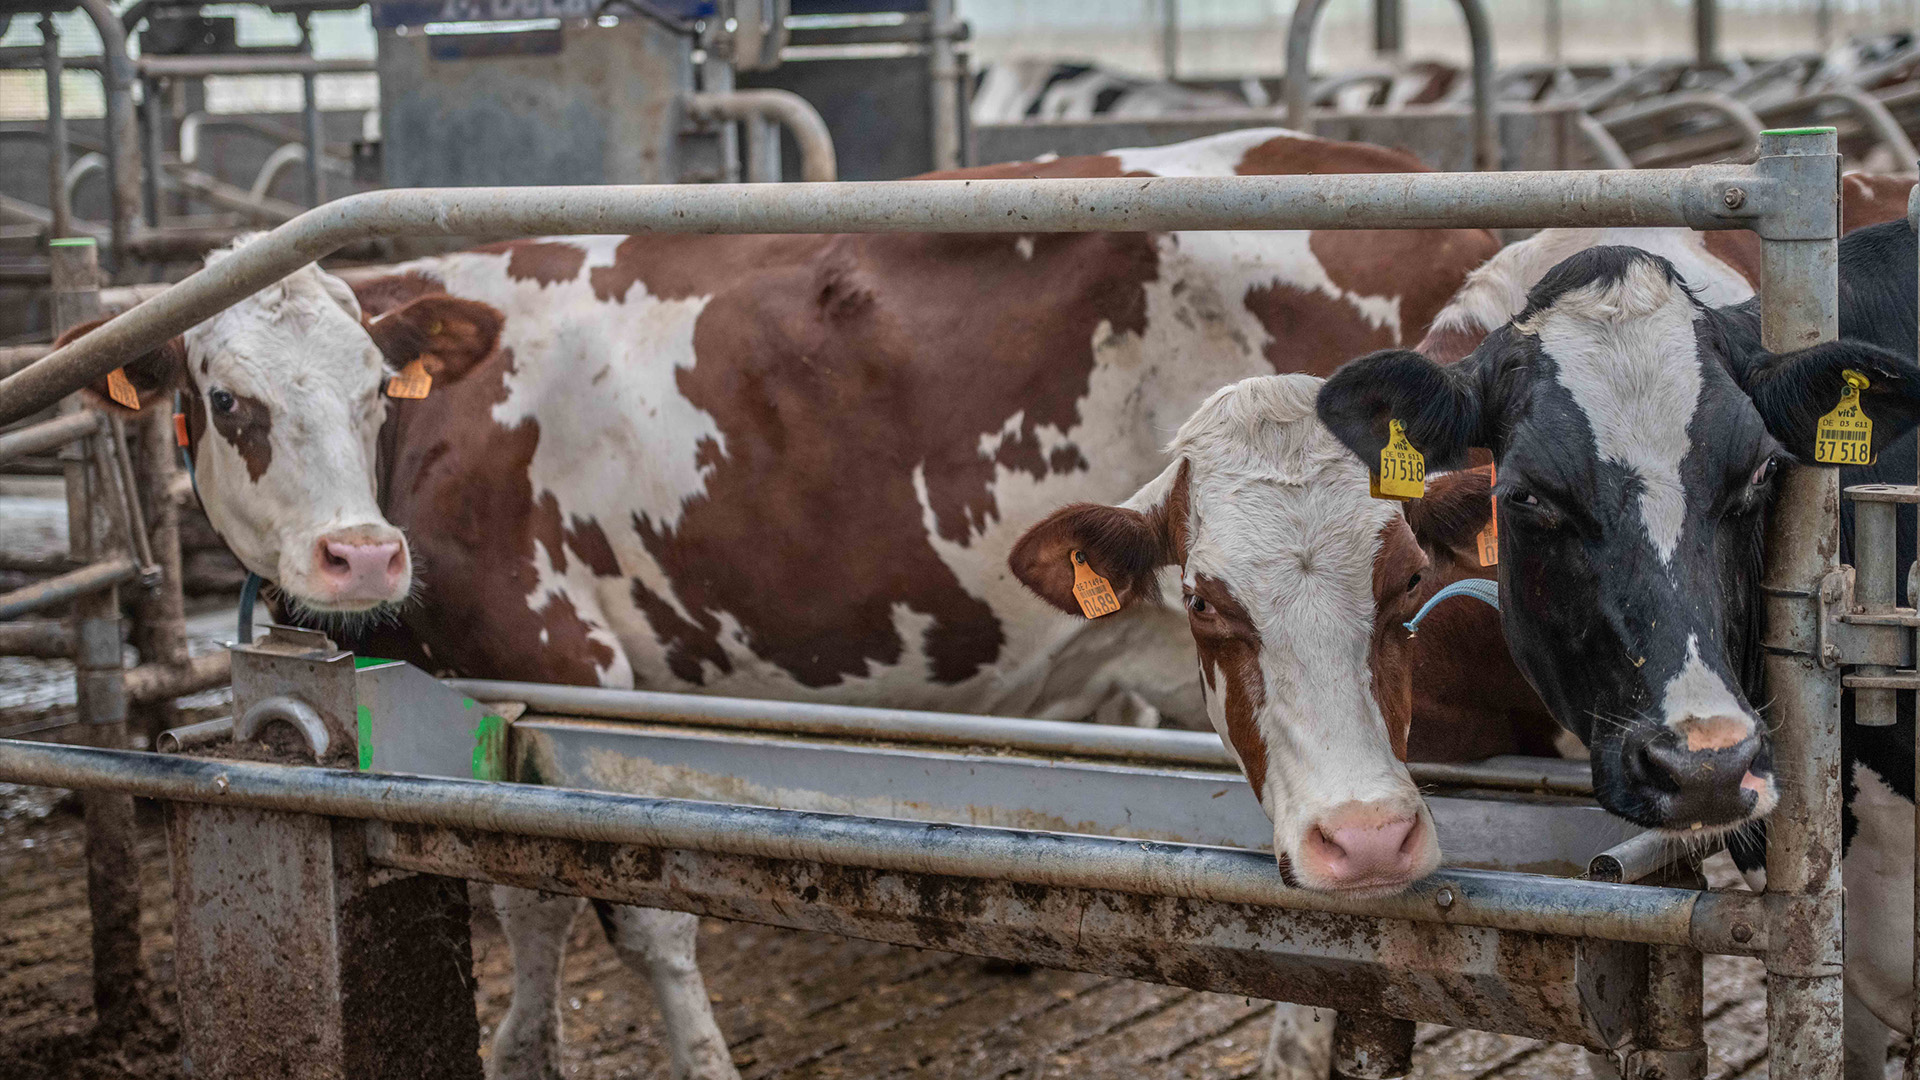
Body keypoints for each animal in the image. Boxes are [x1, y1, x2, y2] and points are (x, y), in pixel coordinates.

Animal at [73, 126, 1500, 1080]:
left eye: (377, 388)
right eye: (228, 400)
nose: (360, 558)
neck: (440, 448)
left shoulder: (569, 665)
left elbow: (635, 912)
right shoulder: (487, 689)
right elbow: (521, 892)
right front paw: (525, 1043)